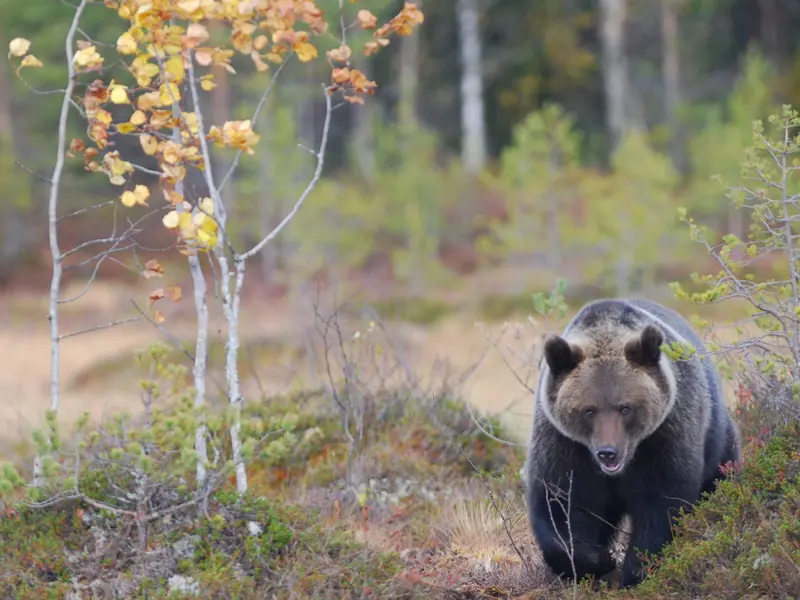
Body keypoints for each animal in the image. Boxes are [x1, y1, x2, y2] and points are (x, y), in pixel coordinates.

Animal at [524, 298, 741, 588]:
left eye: (625, 408)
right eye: (588, 410)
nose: (608, 453)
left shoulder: (664, 436)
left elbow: (662, 505)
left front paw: (635, 570)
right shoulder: (565, 446)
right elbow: (560, 504)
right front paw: (596, 560)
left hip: (717, 440)